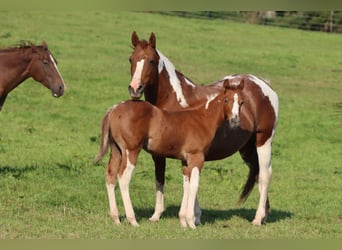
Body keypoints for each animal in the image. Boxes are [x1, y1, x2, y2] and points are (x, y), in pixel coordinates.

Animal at [93, 78, 243, 229]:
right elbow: (194, 185)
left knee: (110, 175)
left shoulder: (185, 161)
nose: (235, 120)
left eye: (241, 102)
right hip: (131, 151)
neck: (202, 119)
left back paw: (116, 218)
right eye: (226, 100)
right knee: (123, 178)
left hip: (116, 150)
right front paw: (191, 222)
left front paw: (183, 221)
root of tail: (115, 108)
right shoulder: (196, 157)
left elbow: (186, 185)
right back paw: (132, 220)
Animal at [127, 31, 278, 227]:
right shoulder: (165, 154)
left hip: (263, 141)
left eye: (151, 61)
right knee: (258, 173)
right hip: (247, 148)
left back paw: (258, 218)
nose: (135, 88)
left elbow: (187, 182)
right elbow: (162, 179)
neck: (175, 101)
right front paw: (166, 215)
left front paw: (187, 217)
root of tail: (264, 85)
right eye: (131, 59)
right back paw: (265, 214)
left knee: (266, 174)